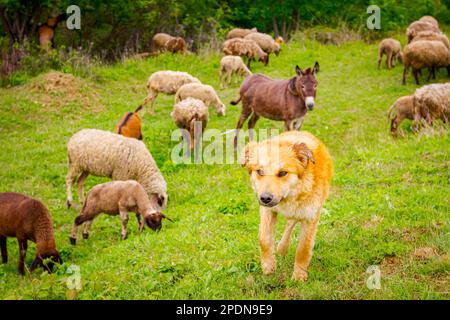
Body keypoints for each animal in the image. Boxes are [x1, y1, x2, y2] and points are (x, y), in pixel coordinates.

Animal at [241, 130, 332, 280]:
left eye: (283, 173)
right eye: (260, 171)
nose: (265, 198)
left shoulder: (310, 215)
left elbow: (303, 248)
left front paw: (299, 275)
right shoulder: (268, 211)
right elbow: (264, 239)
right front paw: (268, 266)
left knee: (292, 221)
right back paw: (282, 248)